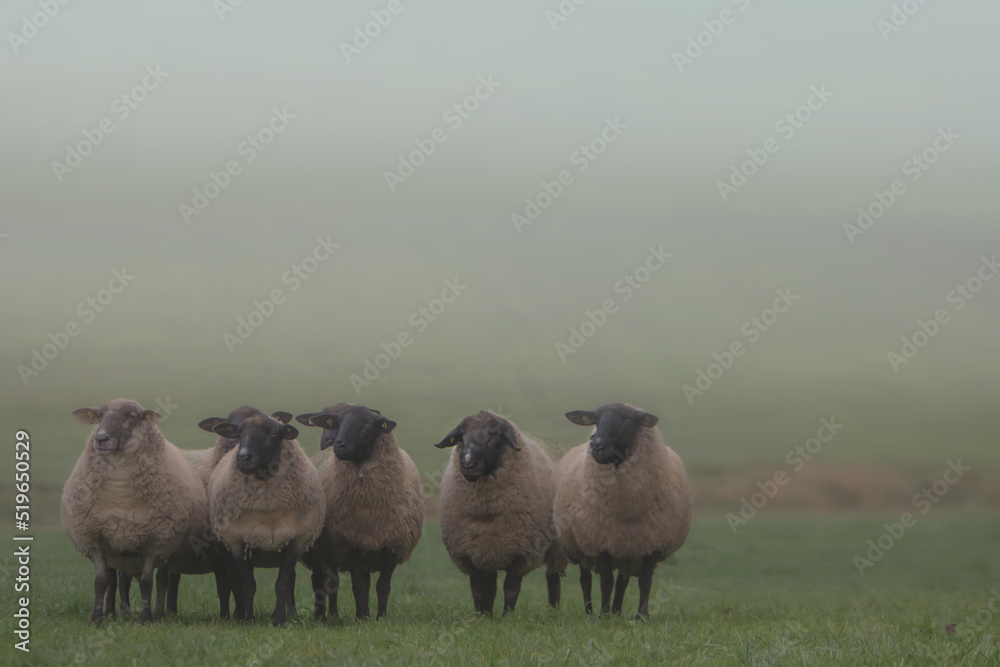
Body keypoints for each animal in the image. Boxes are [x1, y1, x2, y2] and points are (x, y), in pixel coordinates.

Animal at [61, 398, 208, 625]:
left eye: (131, 416)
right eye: (100, 415)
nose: (101, 438)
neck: (120, 497)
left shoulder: (156, 542)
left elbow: (147, 582)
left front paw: (146, 618)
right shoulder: (95, 539)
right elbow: (100, 581)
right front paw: (96, 619)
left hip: (166, 549)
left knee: (162, 579)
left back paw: (158, 613)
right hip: (118, 552)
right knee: (115, 580)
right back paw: (113, 612)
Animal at [206, 412, 324, 626]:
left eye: (273, 433)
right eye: (239, 433)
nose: (243, 457)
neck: (268, 509)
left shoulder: (295, 541)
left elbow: (282, 585)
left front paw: (279, 621)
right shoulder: (238, 542)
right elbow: (247, 585)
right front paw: (249, 619)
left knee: (291, 582)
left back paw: (289, 613)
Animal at [295, 403, 423, 621]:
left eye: (368, 424)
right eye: (337, 422)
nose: (338, 444)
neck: (369, 505)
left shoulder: (394, 544)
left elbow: (382, 587)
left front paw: (380, 618)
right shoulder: (348, 543)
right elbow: (358, 587)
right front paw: (361, 618)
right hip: (323, 552)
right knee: (323, 582)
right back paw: (326, 616)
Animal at [434, 410, 563, 615]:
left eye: (494, 435)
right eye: (462, 436)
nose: (468, 464)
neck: (485, 513)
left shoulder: (522, 553)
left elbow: (510, 589)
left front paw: (506, 617)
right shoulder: (474, 553)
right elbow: (481, 590)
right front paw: (483, 616)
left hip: (557, 548)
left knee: (553, 579)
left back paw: (554, 611)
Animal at [554, 403, 693, 619]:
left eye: (627, 420)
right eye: (596, 420)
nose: (597, 446)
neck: (627, 510)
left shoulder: (652, 542)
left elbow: (644, 582)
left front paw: (642, 616)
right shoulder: (599, 541)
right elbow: (605, 582)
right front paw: (603, 615)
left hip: (627, 550)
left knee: (622, 581)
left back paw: (617, 612)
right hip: (580, 545)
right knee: (586, 580)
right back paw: (590, 613)